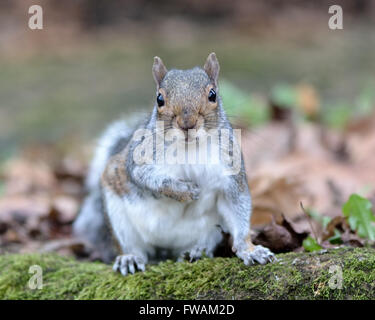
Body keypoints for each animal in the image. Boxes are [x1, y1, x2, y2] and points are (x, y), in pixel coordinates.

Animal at [73, 52, 274, 276]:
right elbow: (145, 177)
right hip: (118, 217)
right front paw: (184, 191)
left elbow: (238, 208)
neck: (190, 148)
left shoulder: (231, 171)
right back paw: (130, 257)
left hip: (210, 231)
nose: (187, 123)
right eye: (159, 99)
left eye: (212, 94)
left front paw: (250, 250)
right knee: (132, 246)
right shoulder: (137, 159)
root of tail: (164, 248)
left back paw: (195, 252)